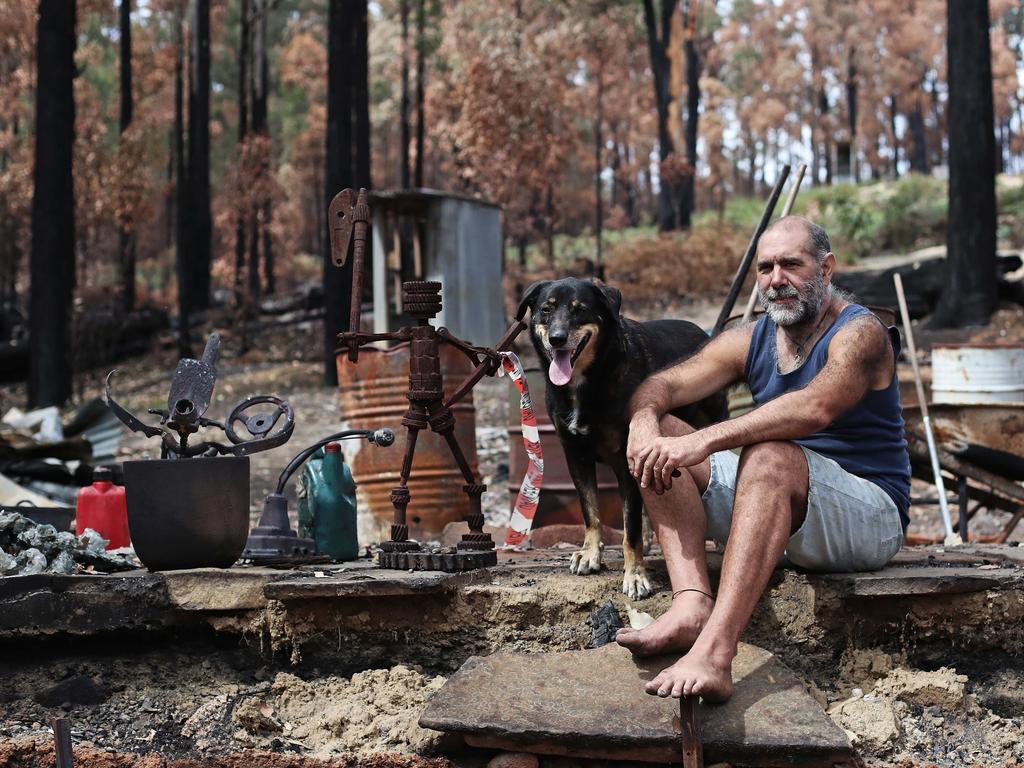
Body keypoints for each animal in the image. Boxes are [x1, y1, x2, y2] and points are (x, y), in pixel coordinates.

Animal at [520, 278, 729, 602]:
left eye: (579, 310)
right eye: (546, 309)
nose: (556, 339)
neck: (589, 380)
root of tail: (703, 333)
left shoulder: (627, 456)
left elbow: (629, 528)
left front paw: (635, 575)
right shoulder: (575, 456)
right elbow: (590, 510)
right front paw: (590, 554)